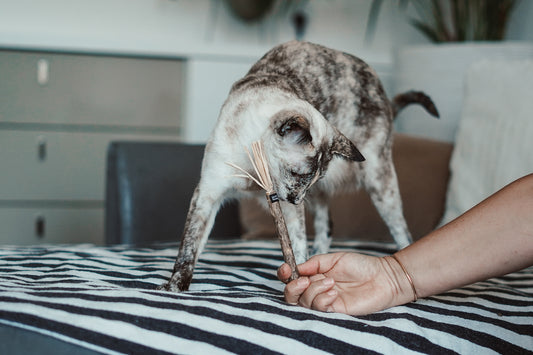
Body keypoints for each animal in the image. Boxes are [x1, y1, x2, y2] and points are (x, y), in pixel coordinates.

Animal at [158, 41, 436, 292]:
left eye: (306, 178)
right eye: (297, 173)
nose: (297, 198)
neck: (254, 174)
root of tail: (381, 90)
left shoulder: (290, 209)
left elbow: (297, 245)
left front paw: (299, 282)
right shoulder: (208, 193)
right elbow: (188, 248)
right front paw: (175, 287)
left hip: (378, 182)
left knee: (402, 232)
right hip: (328, 195)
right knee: (327, 224)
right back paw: (320, 258)